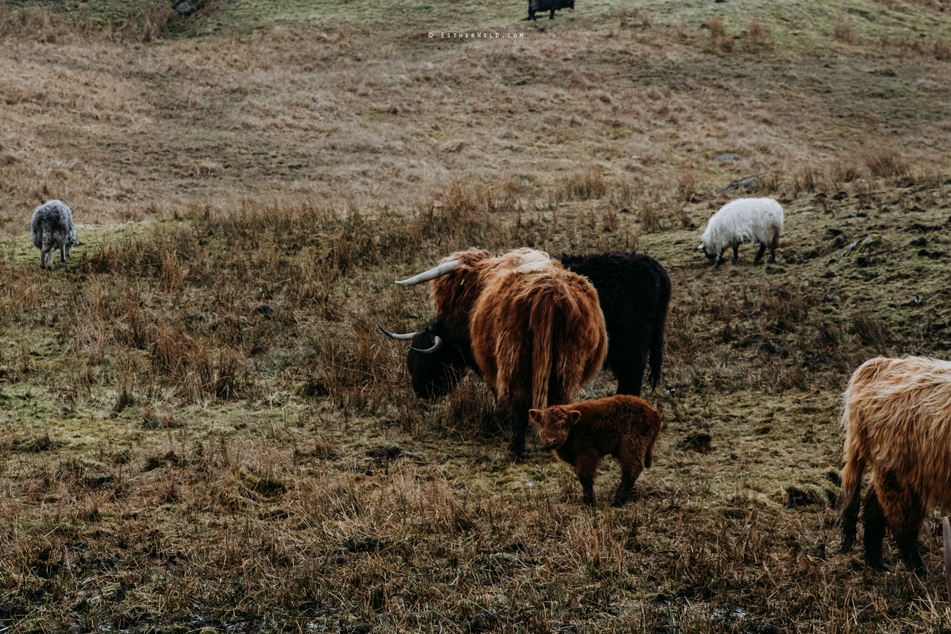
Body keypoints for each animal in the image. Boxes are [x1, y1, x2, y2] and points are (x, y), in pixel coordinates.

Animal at [378, 247, 608, 460]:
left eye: (432, 358)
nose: (419, 390)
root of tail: (547, 293)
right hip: (567, 366)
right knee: (559, 399)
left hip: (515, 359)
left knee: (519, 399)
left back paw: (515, 451)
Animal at [528, 396, 660, 504]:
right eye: (543, 424)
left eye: (562, 425)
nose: (551, 440)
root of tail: (652, 411)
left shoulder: (587, 454)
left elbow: (585, 477)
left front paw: (589, 501)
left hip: (631, 446)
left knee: (632, 470)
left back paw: (618, 500)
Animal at [844, 356, 951, 572]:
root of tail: (883, 364)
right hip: (900, 473)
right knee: (901, 522)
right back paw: (919, 569)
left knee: (874, 505)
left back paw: (876, 562)